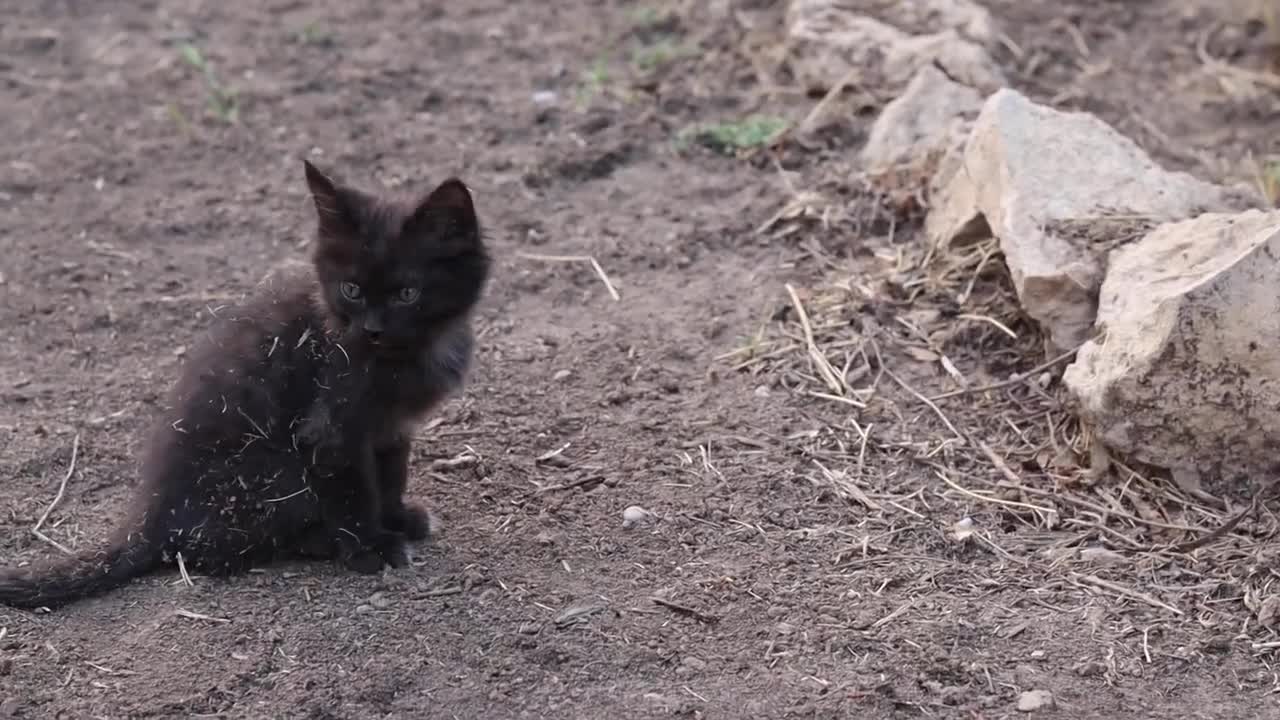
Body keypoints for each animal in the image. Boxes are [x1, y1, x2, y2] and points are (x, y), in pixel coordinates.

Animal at [0, 161, 488, 604]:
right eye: (350, 290)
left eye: (407, 294)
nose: (370, 330)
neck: (408, 353)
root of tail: (150, 520)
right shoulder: (332, 429)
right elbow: (354, 491)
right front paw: (371, 546)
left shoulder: (389, 427)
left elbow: (390, 476)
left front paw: (398, 519)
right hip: (275, 472)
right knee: (212, 551)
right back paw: (321, 541)